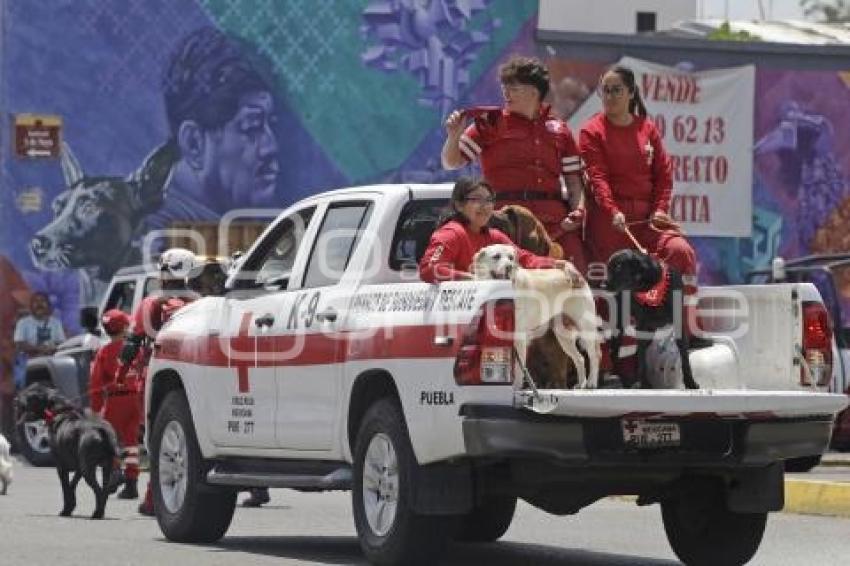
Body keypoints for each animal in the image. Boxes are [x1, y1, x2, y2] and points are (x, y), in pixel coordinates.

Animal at [16, 384, 120, 520]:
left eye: (28, 395)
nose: (16, 399)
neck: (57, 412)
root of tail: (101, 429)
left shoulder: (62, 468)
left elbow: (66, 488)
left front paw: (66, 510)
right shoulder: (79, 468)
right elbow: (72, 485)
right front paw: (70, 505)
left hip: (88, 470)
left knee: (99, 491)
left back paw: (97, 513)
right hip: (105, 467)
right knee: (105, 489)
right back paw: (100, 511)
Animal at [608, 251, 700, 392]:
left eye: (618, 267)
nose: (602, 285)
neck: (651, 288)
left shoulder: (679, 327)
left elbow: (685, 359)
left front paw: (690, 383)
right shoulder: (641, 328)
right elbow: (642, 361)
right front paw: (644, 385)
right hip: (621, 329)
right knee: (616, 354)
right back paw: (630, 381)